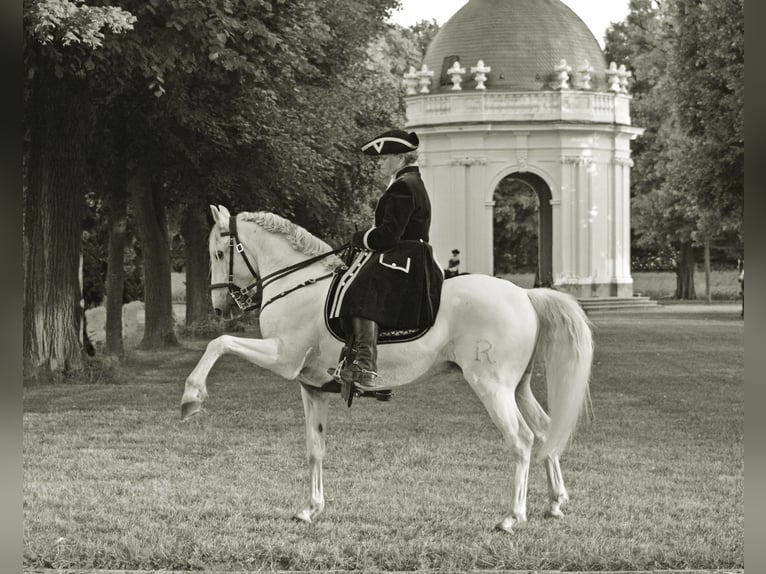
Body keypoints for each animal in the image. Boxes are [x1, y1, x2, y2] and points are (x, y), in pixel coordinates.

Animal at [180, 207, 592, 536]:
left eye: (220, 252)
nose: (219, 306)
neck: (298, 285)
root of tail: (524, 295)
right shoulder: (312, 387)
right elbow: (315, 449)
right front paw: (311, 509)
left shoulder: (283, 356)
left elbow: (220, 343)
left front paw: (192, 397)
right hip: (517, 387)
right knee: (546, 431)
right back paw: (555, 502)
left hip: (492, 387)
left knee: (522, 439)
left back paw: (512, 517)